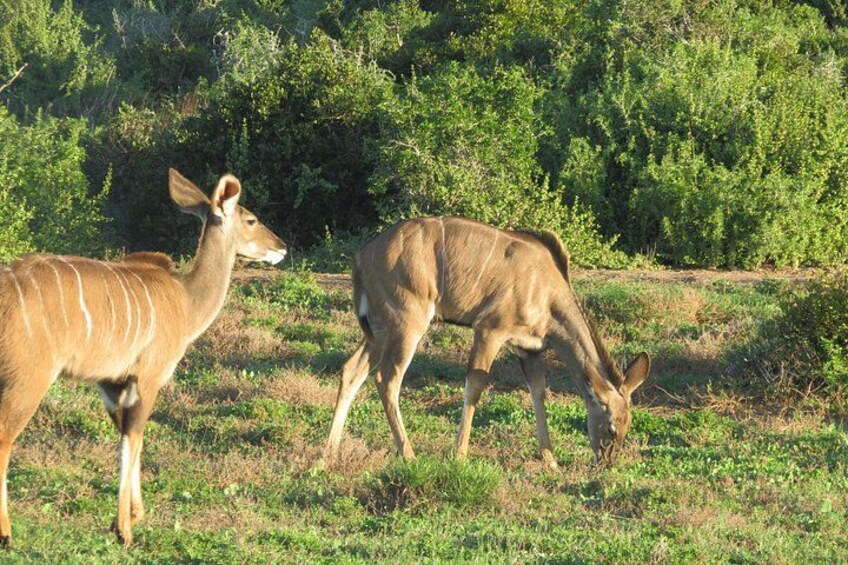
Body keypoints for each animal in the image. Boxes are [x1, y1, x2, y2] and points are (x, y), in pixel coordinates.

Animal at [0, 169, 286, 548]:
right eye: (251, 219)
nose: (281, 247)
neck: (186, 301)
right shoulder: (148, 378)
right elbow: (133, 438)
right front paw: (124, 529)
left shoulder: (111, 385)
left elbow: (127, 436)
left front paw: (133, 515)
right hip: (28, 380)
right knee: (4, 439)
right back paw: (6, 533)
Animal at [325, 217, 650, 469]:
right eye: (611, 427)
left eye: (627, 427)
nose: (605, 463)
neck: (548, 290)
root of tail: (361, 257)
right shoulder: (489, 331)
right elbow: (475, 386)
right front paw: (459, 456)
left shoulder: (529, 349)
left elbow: (538, 392)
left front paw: (551, 461)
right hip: (407, 325)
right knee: (387, 378)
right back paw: (409, 455)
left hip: (379, 331)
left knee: (351, 371)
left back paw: (328, 454)